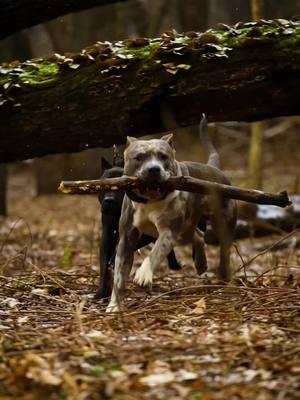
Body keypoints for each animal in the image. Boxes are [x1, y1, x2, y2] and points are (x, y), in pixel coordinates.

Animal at [95, 153, 182, 300]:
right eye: (103, 186)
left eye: (121, 188)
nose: (109, 200)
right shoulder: (107, 236)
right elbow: (104, 262)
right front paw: (101, 292)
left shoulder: (146, 233)